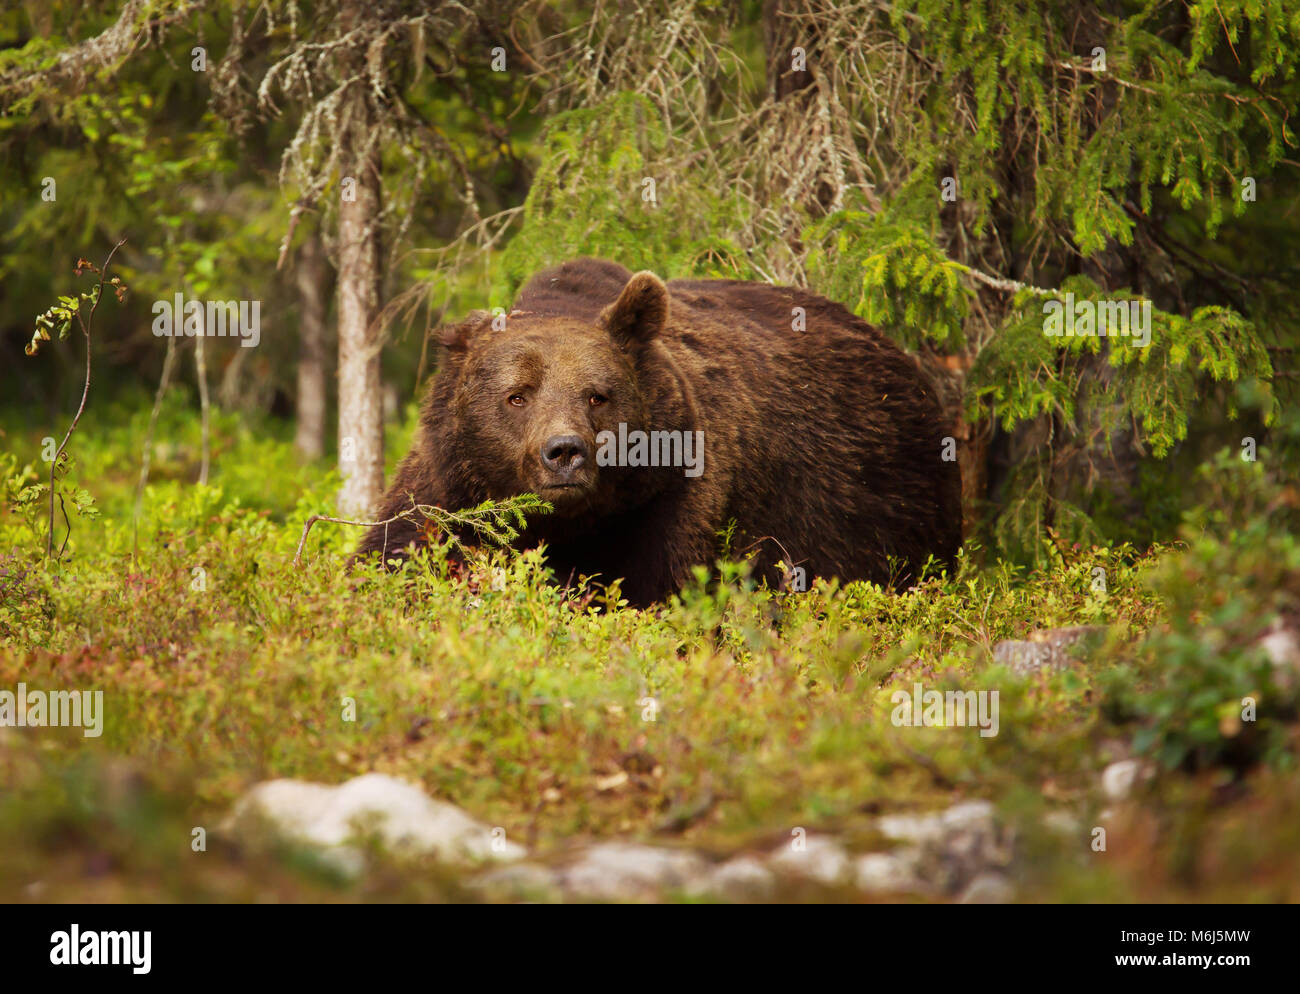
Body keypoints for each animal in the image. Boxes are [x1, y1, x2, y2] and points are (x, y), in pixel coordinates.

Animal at [358, 255, 967, 605]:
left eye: (597, 395)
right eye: (517, 395)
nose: (564, 453)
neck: (569, 524)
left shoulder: (669, 502)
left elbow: (663, 593)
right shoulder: (446, 494)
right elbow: (395, 560)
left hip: (886, 505)